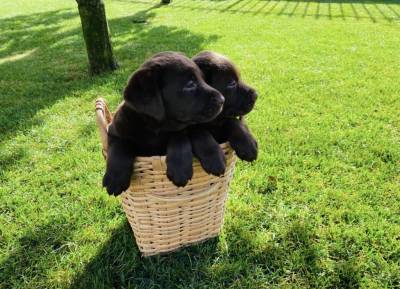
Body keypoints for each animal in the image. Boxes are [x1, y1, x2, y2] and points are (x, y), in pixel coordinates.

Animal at [103, 52, 225, 196]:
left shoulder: (183, 128)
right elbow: (119, 148)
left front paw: (181, 167)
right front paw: (115, 179)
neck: (156, 128)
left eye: (203, 79)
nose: (222, 100)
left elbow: (182, 135)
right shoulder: (114, 130)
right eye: (190, 84)